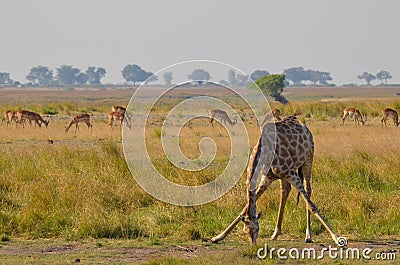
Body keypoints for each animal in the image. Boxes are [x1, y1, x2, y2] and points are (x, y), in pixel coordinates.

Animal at [211, 115, 346, 245]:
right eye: (245, 231)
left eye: (256, 229)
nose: (253, 246)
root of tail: (303, 125)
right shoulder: (268, 177)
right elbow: (245, 208)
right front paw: (218, 237)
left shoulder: (291, 173)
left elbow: (311, 205)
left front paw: (336, 237)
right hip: (283, 175)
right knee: (285, 191)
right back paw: (275, 233)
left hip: (308, 159)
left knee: (308, 191)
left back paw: (308, 235)